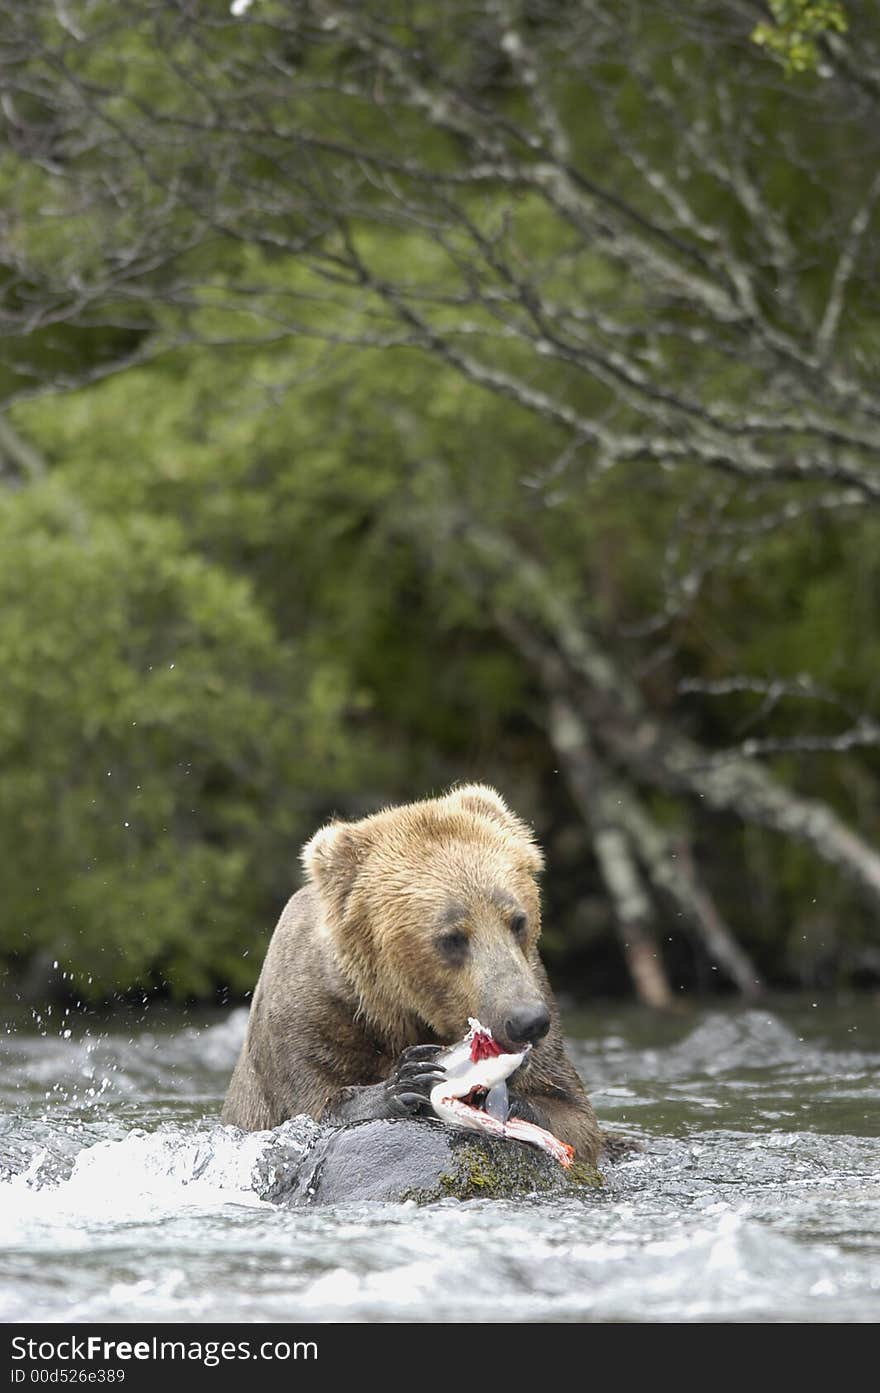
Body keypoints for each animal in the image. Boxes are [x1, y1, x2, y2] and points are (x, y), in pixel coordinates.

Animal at [222, 785, 601, 1164]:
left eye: (517, 920)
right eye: (452, 937)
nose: (526, 1020)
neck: (395, 1010)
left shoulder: (536, 985)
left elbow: (574, 1116)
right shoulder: (308, 1015)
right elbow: (310, 1105)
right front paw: (405, 1080)